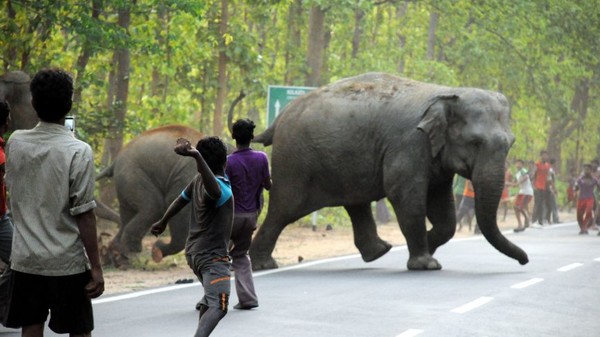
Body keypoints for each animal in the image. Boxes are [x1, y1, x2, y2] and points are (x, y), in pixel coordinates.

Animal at [251, 71, 528, 270]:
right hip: (295, 161)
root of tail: (280, 118)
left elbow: (442, 208)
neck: (447, 92)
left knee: (355, 203)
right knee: (285, 208)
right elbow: (405, 195)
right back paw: (264, 265)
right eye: (475, 143)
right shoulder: (409, 143)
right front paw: (427, 264)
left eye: (511, 143)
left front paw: (429, 246)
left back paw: (379, 252)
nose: (524, 261)